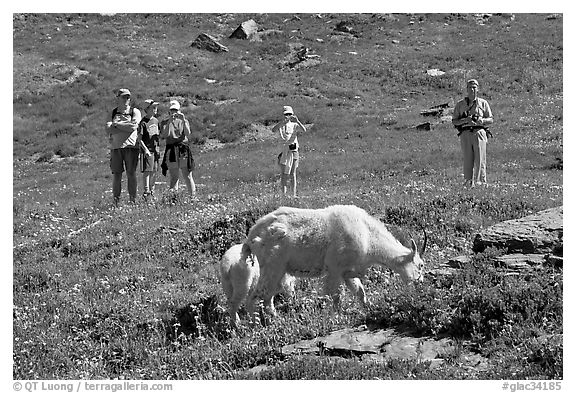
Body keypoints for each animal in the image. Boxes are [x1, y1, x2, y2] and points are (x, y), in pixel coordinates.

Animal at [244, 205, 428, 316]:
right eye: (420, 265)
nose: (420, 284)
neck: (368, 235)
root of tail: (252, 235)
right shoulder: (335, 269)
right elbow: (337, 296)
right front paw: (337, 316)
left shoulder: (348, 272)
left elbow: (360, 292)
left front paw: (367, 309)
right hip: (272, 266)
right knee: (256, 295)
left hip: (279, 271)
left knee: (268, 297)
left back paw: (275, 319)